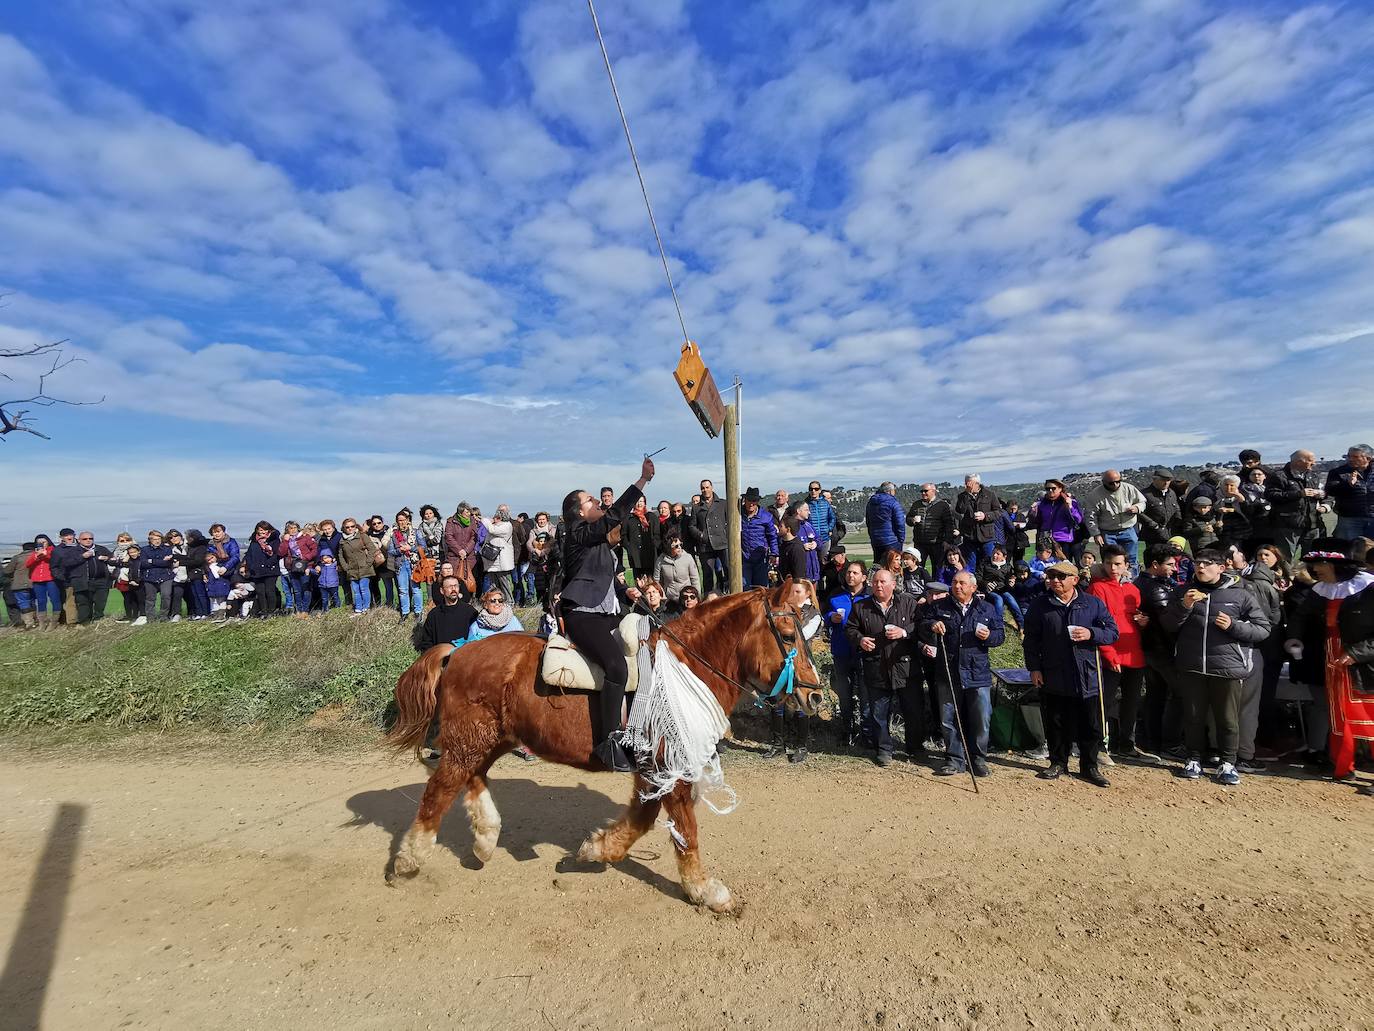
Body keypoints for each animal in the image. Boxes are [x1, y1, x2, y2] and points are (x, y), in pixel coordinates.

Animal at [381, 582, 818, 912]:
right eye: (789, 636)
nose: (814, 696)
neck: (685, 668)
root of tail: (456, 651)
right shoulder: (668, 767)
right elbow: (685, 830)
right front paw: (706, 891)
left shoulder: (653, 771)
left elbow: (642, 819)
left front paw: (595, 849)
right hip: (469, 740)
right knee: (440, 791)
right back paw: (409, 859)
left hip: (489, 740)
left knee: (472, 779)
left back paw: (486, 840)